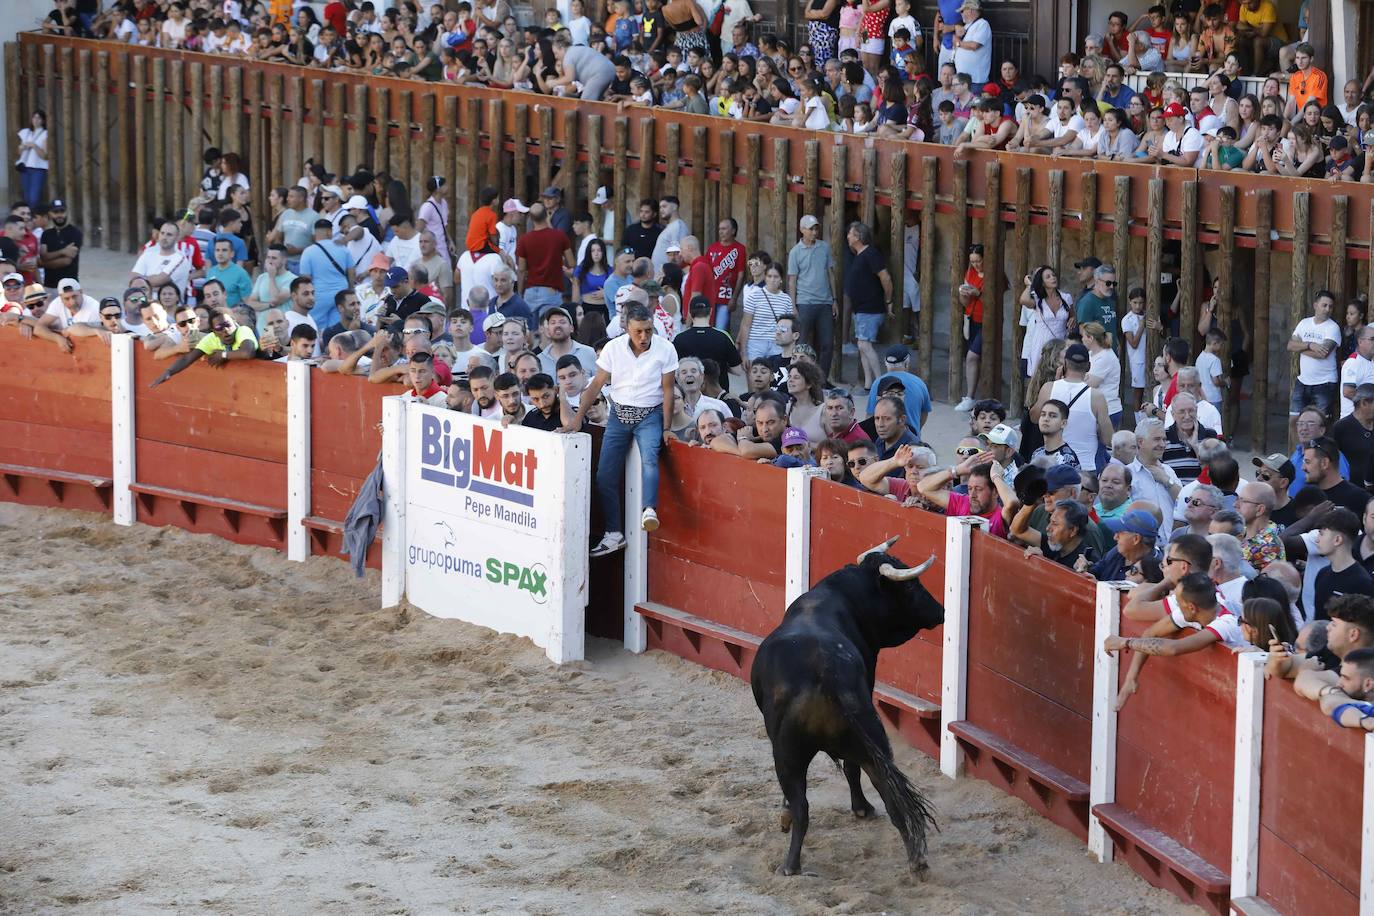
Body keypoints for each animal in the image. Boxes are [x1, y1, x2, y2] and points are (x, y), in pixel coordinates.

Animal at [752, 538, 945, 878]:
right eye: (911, 586)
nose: (941, 611)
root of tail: (826, 673)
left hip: (787, 753)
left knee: (802, 806)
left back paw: (791, 865)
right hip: (870, 740)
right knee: (889, 794)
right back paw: (916, 860)